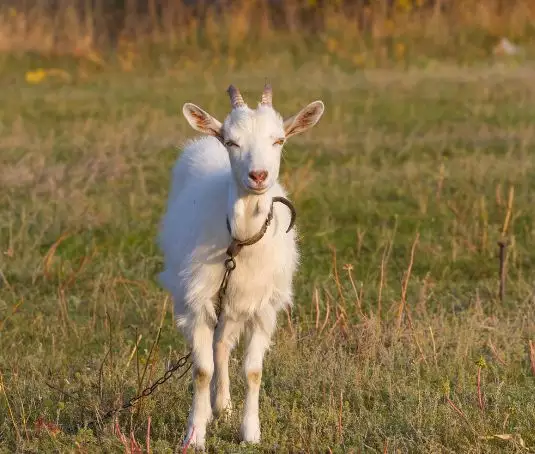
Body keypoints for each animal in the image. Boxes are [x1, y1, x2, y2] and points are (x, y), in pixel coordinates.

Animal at [158, 82, 326, 446]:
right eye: (231, 142)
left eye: (279, 140)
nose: (258, 175)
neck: (240, 239)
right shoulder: (198, 301)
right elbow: (201, 370)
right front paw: (195, 434)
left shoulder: (263, 306)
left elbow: (253, 371)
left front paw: (250, 432)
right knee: (215, 348)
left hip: (235, 303)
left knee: (222, 344)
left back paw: (223, 405)